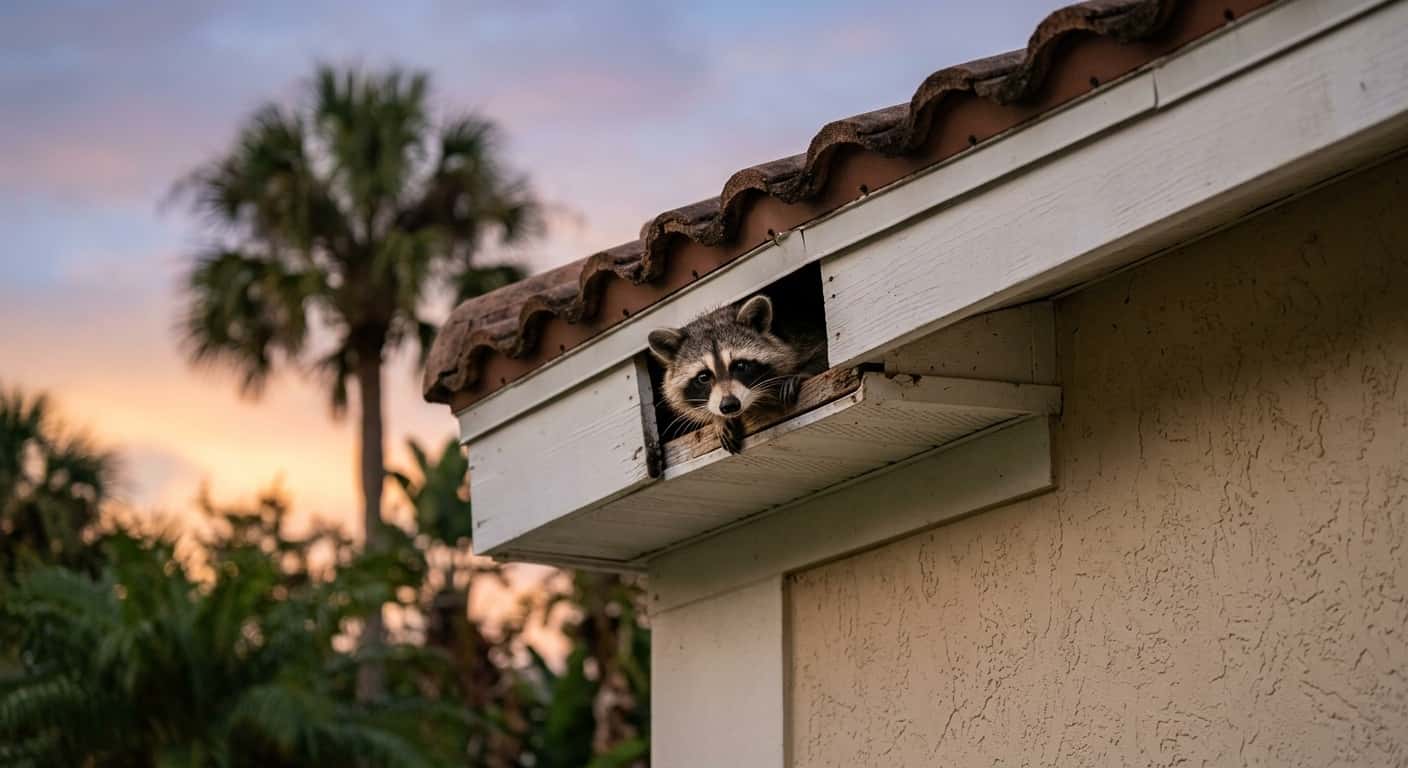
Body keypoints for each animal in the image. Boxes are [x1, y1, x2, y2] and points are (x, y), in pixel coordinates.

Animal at [648, 294, 822, 455]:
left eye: (740, 365)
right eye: (703, 377)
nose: (729, 405)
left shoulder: (799, 334)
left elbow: (819, 347)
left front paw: (804, 372)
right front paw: (718, 419)